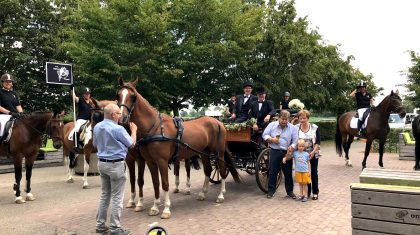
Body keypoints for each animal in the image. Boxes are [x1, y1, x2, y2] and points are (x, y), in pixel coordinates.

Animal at [115, 78, 240, 219]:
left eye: (133, 96)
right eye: (118, 95)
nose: (122, 118)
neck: (154, 128)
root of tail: (218, 122)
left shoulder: (161, 161)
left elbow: (165, 183)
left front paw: (166, 209)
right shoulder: (150, 162)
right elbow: (155, 183)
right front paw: (155, 207)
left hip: (218, 153)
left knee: (222, 170)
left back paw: (221, 195)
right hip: (204, 153)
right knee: (208, 170)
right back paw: (202, 194)